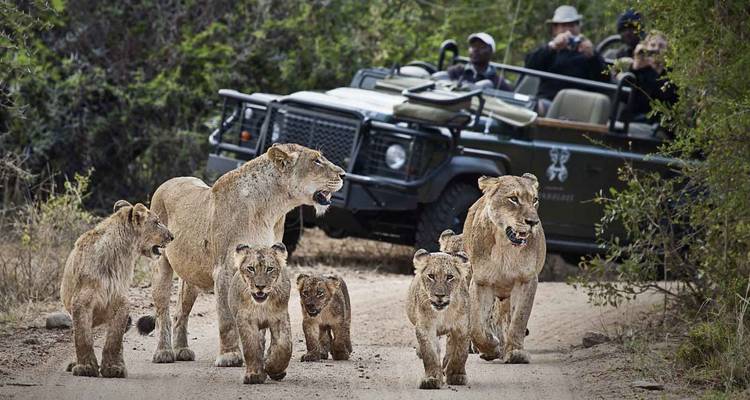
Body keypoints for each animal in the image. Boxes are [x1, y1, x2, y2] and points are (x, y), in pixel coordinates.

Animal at [60, 200, 173, 378]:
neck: (121, 254)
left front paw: (113, 367)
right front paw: (86, 367)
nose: (172, 236)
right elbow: (82, 337)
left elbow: (114, 339)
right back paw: (74, 363)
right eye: (156, 222)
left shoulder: (121, 301)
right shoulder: (81, 302)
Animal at [137, 143, 344, 367]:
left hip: (191, 274)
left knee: (180, 311)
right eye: (316, 160)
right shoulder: (226, 269)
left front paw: (260, 355)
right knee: (162, 311)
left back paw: (182, 350)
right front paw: (230, 356)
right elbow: (227, 318)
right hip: (161, 265)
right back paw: (163, 352)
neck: (272, 209)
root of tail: (167, 182)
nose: (343, 174)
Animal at [228, 243, 292, 384]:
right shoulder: (246, 320)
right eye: (251, 268)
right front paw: (255, 375)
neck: (262, 305)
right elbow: (251, 347)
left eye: (269, 269)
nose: (260, 286)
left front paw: (272, 367)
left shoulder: (280, 317)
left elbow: (284, 346)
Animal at [406, 249, 471, 390]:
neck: (443, 313)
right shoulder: (425, 327)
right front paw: (432, 379)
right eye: (431, 276)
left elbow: (460, 352)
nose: (439, 296)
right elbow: (430, 353)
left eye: (449, 277)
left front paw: (456, 375)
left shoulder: (462, 327)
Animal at [462, 173, 545, 364]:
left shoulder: (526, 280)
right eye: (513, 199)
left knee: (506, 317)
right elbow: (477, 326)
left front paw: (515, 352)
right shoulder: (481, 282)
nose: (533, 222)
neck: (505, 246)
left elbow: (519, 319)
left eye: (534, 200)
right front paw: (491, 348)